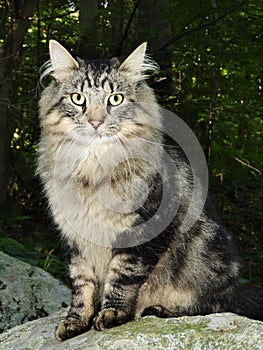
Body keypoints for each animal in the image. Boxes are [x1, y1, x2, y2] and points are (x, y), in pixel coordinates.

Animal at [37, 39, 263, 340]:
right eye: (78, 98)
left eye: (115, 99)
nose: (96, 122)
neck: (93, 168)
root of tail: (236, 288)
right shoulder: (75, 238)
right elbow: (81, 285)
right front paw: (75, 322)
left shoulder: (143, 228)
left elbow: (122, 277)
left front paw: (112, 315)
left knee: (213, 305)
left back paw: (160, 310)